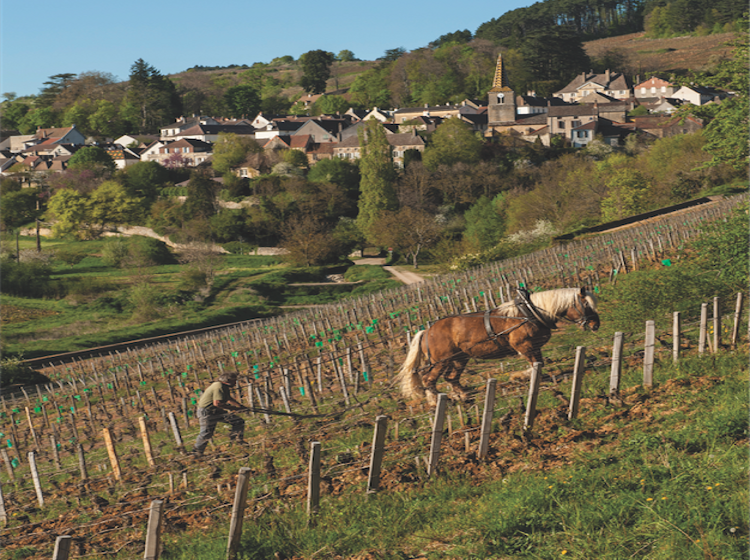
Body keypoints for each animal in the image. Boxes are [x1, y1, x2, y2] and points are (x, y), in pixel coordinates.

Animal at [396, 286, 604, 404]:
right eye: (586, 305)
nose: (596, 325)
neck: (530, 312)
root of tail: (426, 331)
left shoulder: (535, 347)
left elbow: (539, 364)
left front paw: (526, 377)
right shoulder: (524, 346)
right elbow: (535, 365)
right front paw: (520, 377)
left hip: (459, 358)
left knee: (451, 378)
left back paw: (463, 395)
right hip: (441, 360)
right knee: (428, 379)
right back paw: (437, 401)